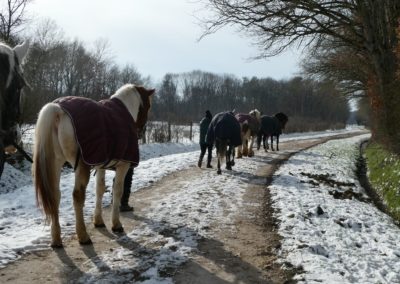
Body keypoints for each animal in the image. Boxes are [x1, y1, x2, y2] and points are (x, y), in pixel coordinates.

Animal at [32, 83, 154, 247]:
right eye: (148, 106)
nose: (140, 133)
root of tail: (59, 109)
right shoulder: (123, 166)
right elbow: (117, 191)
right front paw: (116, 224)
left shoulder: (100, 165)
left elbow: (100, 189)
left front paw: (99, 221)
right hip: (80, 166)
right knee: (77, 196)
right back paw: (83, 235)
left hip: (56, 163)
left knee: (55, 195)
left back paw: (56, 239)